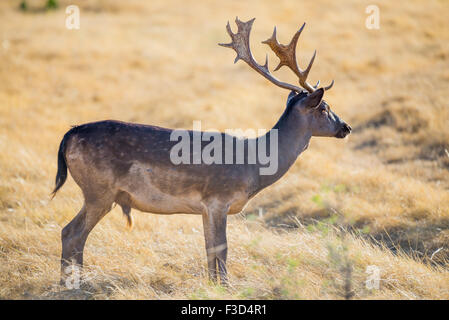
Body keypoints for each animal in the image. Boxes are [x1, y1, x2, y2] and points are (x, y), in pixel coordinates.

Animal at [51, 17, 350, 286]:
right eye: (324, 108)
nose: (345, 127)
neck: (253, 166)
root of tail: (69, 135)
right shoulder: (218, 198)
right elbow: (222, 248)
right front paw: (228, 288)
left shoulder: (205, 208)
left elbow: (209, 250)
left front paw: (213, 285)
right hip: (99, 190)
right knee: (72, 232)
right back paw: (73, 284)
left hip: (99, 193)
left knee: (71, 232)